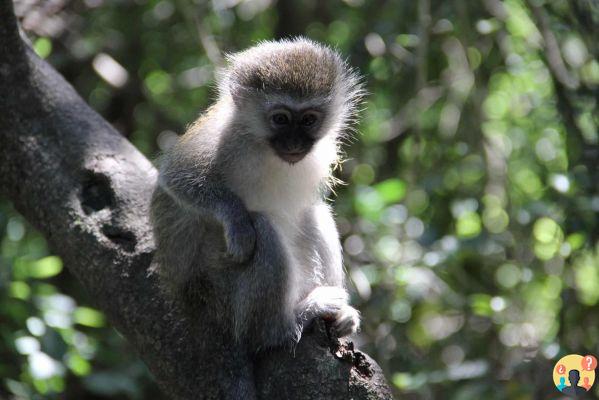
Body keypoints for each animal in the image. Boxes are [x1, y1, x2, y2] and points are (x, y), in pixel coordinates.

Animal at [152, 36, 364, 396]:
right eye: (280, 119)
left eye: (308, 119)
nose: (294, 143)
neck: (264, 147)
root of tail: (191, 295)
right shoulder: (223, 138)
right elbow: (177, 179)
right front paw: (237, 222)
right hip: (219, 288)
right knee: (262, 228)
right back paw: (284, 326)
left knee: (313, 213)